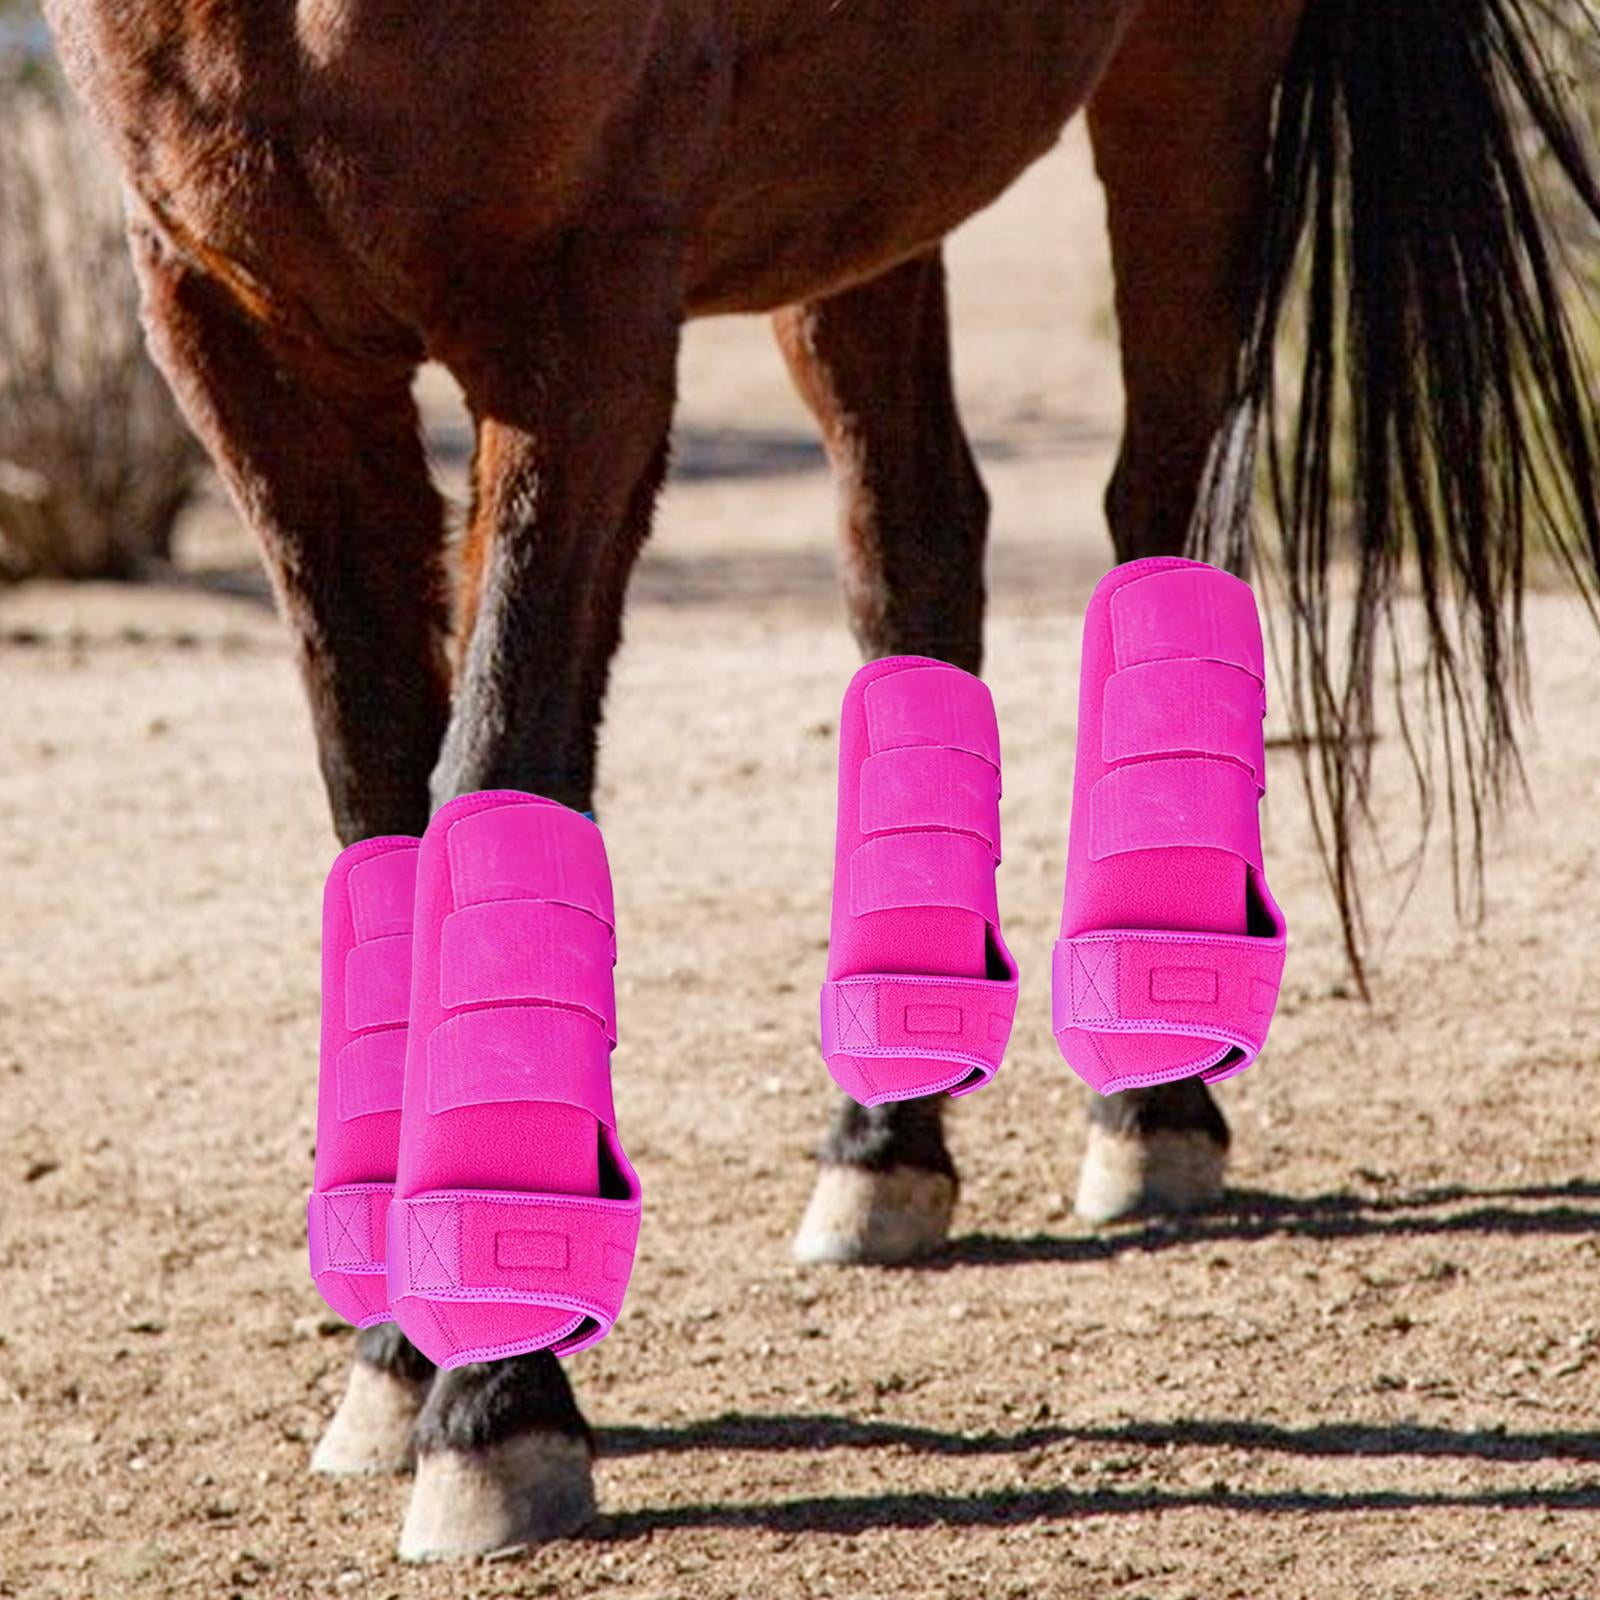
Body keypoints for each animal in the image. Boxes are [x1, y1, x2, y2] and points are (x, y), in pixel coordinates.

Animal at [41, 0, 1600, 1559]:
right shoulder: (242, 337)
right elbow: (375, 799)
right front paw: (398, 1360)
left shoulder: (579, 331)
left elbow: (493, 773)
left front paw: (496, 1400)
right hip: (868, 200)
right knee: (917, 545)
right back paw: (883, 1143)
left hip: (1192, 88)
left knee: (1164, 512)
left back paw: (1150, 1103)